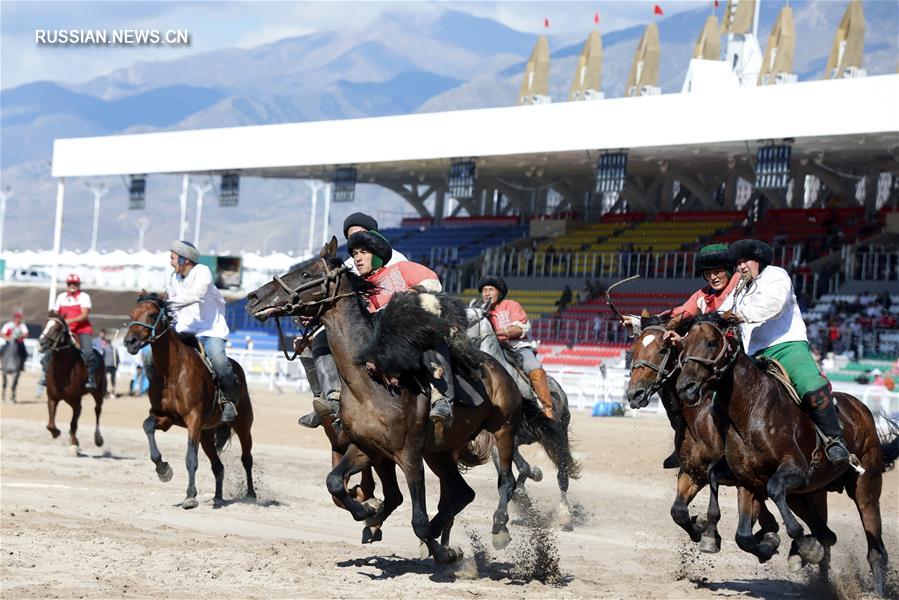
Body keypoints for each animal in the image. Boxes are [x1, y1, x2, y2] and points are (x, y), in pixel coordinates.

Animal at [39, 312, 106, 452]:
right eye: (47, 324)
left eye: (57, 328)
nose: (41, 343)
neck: (63, 370)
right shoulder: (52, 398)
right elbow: (50, 424)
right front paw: (56, 432)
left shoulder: (76, 403)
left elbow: (73, 424)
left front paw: (74, 444)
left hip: (98, 393)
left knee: (97, 410)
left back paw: (98, 438)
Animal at [123, 292, 256, 508]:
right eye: (131, 314)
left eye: (152, 314)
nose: (130, 341)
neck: (172, 373)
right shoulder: (165, 418)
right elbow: (147, 426)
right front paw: (163, 469)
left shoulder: (193, 420)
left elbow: (190, 459)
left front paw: (190, 496)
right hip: (207, 435)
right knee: (218, 466)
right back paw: (218, 497)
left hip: (243, 425)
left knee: (247, 458)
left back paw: (251, 494)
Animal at [246, 239, 524, 564]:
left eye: (305, 274)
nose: (253, 298)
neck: (370, 382)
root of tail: (496, 366)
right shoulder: (368, 448)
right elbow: (335, 482)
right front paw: (368, 511)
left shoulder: (410, 455)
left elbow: (417, 518)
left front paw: (442, 553)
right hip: (440, 451)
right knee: (461, 493)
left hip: (503, 429)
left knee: (506, 481)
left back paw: (498, 530)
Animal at [624, 316, 780, 556]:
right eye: (634, 349)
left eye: (662, 349)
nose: (635, 394)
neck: (699, 417)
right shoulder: (692, 472)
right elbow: (678, 511)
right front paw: (700, 528)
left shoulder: (736, 475)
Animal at [680, 314, 896, 596]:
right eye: (683, 344)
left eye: (710, 342)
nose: (685, 387)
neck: (752, 409)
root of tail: (862, 408)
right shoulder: (747, 481)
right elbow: (742, 534)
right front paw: (761, 543)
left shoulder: (794, 470)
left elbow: (774, 493)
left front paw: (805, 547)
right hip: (805, 494)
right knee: (827, 534)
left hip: (865, 487)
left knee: (876, 550)